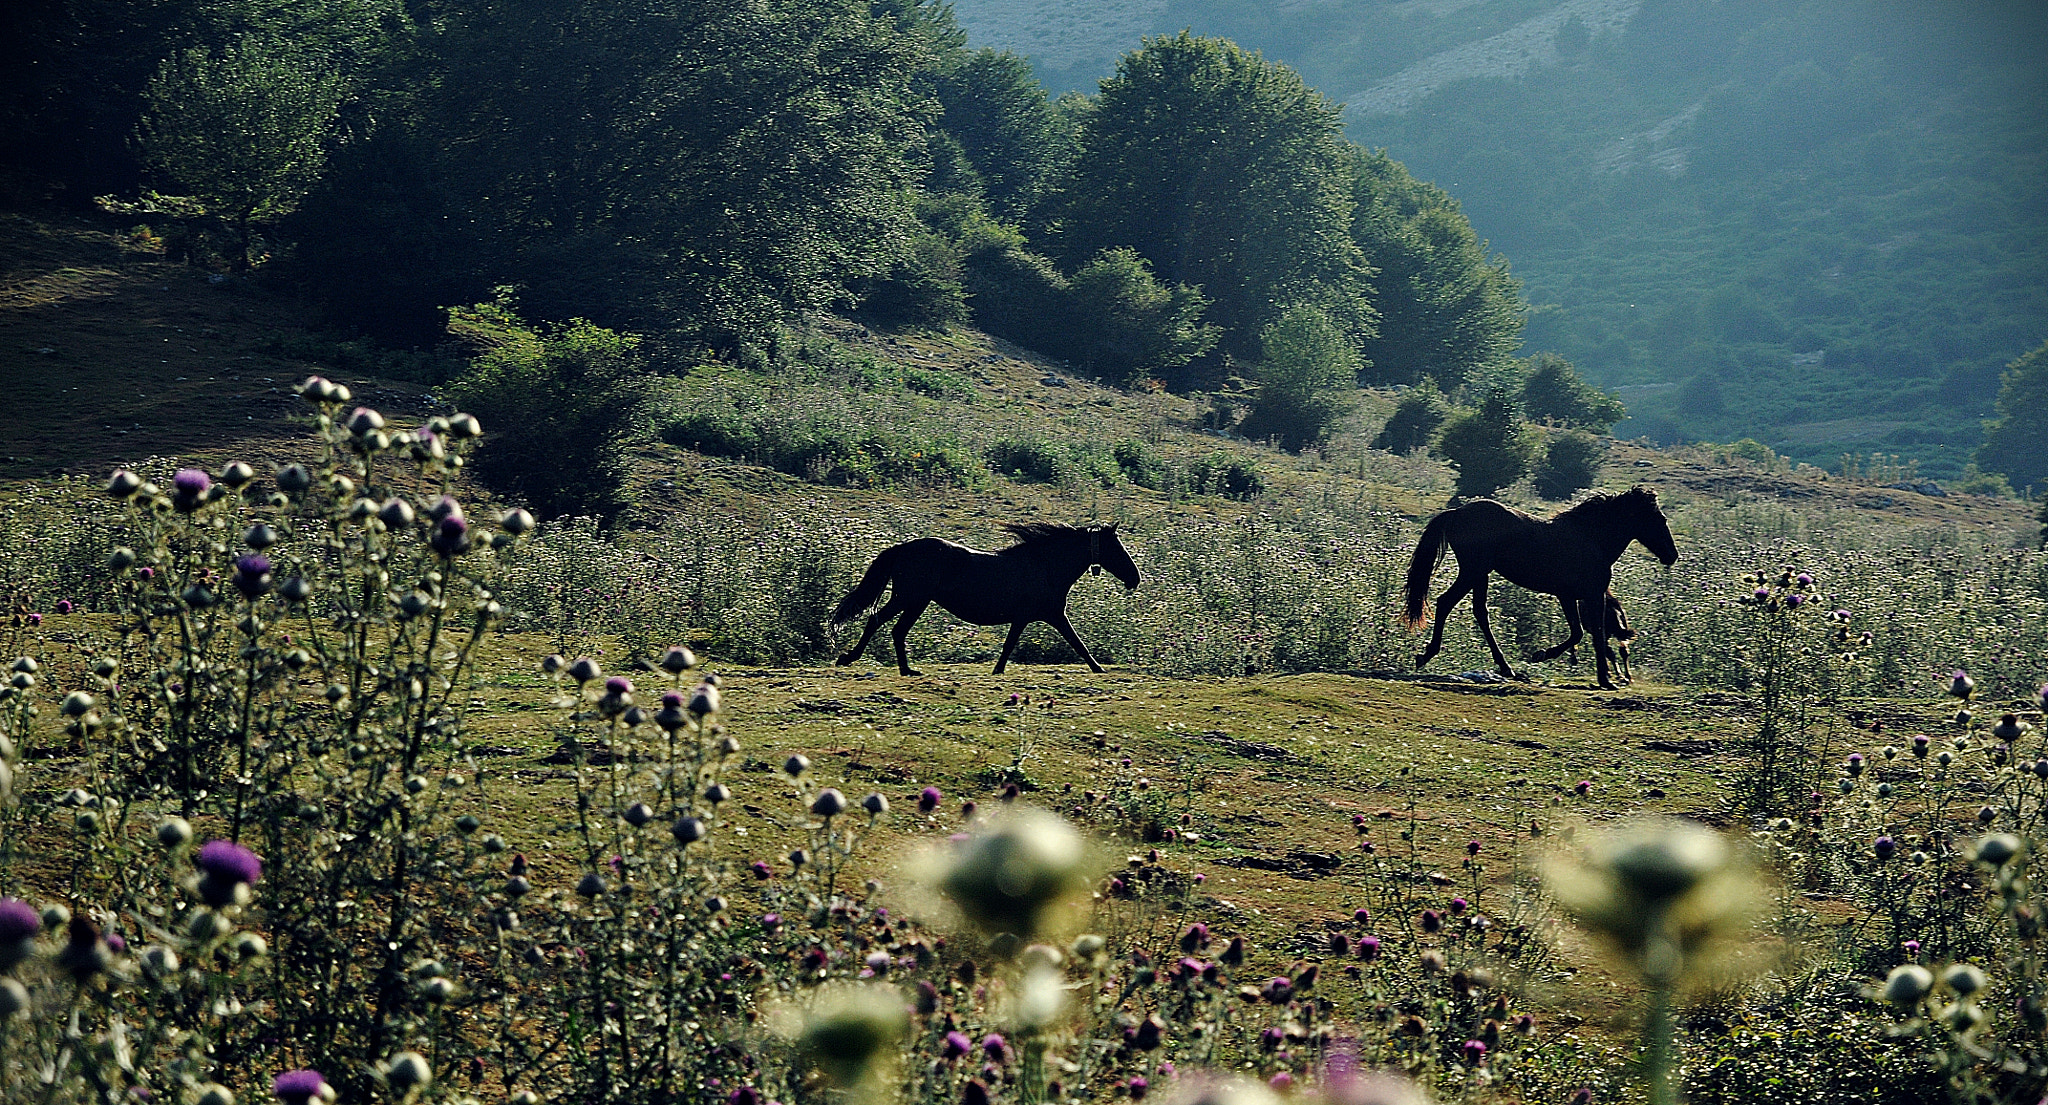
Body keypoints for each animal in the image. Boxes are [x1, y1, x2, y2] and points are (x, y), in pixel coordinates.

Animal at [835, 523, 1155, 679]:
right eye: (1116, 547)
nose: (1135, 578)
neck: (1046, 565)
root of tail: (902, 547)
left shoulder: (1029, 617)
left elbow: (1011, 645)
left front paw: (997, 670)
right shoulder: (1050, 615)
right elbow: (1077, 644)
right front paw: (1099, 668)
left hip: (913, 601)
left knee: (893, 629)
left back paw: (902, 669)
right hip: (912, 599)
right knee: (881, 622)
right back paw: (852, 658)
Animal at [1409, 487, 1679, 687]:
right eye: (1659, 519)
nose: (1672, 555)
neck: (1592, 539)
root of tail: (1457, 512)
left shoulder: (1571, 597)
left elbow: (1582, 634)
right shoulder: (1589, 596)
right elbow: (1593, 635)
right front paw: (1603, 679)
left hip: (1480, 575)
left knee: (1479, 613)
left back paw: (1505, 668)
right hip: (1472, 571)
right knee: (1446, 602)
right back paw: (1426, 656)